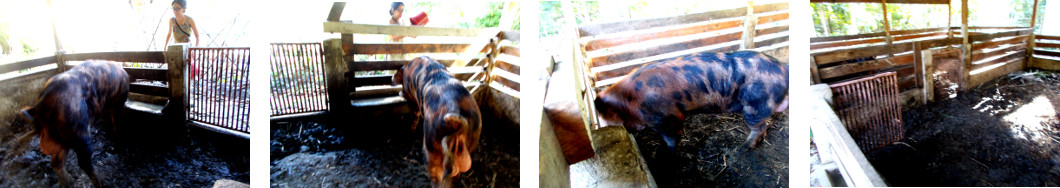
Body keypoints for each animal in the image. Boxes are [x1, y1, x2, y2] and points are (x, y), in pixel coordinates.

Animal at [394, 55, 485, 186]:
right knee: (456, 175)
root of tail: (457, 126)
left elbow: (415, 114)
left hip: (431, 148)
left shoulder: (412, 98)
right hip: (473, 138)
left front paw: (409, 132)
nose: (400, 91)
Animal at [597, 50, 788, 150]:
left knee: (759, 126)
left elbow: (672, 138)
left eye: (603, 118)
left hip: (755, 106)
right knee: (765, 126)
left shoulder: (669, 119)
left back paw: (744, 148)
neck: (628, 103)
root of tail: (782, 67)